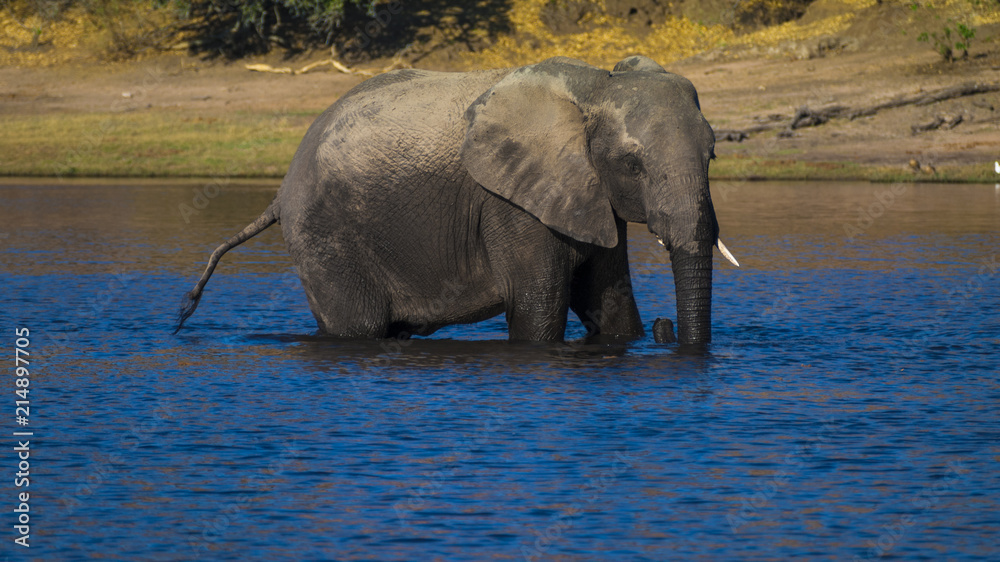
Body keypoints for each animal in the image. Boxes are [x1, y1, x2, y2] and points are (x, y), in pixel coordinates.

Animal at [176, 54, 740, 344]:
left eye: (714, 154)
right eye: (633, 164)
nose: (668, 327)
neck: (597, 87)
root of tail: (280, 191)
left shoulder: (586, 194)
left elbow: (612, 305)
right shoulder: (511, 204)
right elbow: (538, 314)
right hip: (322, 237)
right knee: (358, 326)